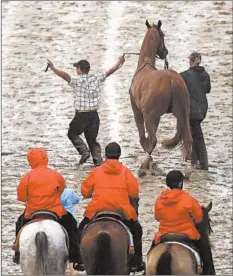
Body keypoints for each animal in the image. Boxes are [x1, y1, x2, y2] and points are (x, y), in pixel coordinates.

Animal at [128, 19, 192, 176]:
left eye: (162, 34)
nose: (165, 52)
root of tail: (171, 79)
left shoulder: (138, 113)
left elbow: (143, 138)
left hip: (150, 117)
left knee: (153, 140)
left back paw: (144, 164)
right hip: (183, 115)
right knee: (188, 140)